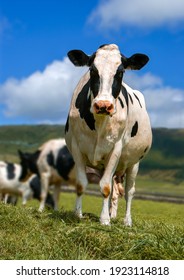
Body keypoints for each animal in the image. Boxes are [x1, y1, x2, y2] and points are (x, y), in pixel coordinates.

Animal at [65, 44, 152, 228]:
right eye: (92, 70)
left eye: (121, 72)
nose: (103, 105)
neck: (99, 123)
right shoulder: (77, 148)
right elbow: (81, 184)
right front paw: (78, 214)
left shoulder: (115, 149)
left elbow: (105, 187)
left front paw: (104, 220)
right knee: (115, 190)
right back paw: (113, 215)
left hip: (134, 163)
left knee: (129, 191)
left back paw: (126, 221)